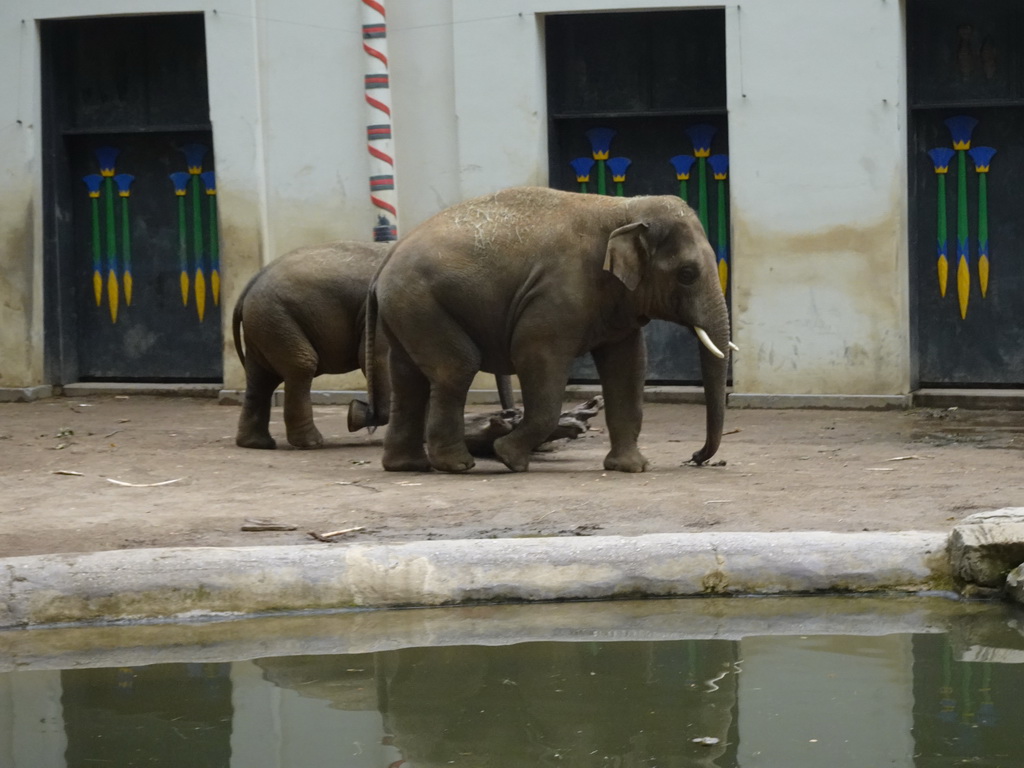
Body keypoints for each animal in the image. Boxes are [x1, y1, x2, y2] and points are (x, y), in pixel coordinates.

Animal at [234, 237, 520, 448]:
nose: (511, 415)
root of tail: (248, 287)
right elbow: (379, 358)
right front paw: (358, 417)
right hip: (276, 317)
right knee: (300, 366)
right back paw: (312, 443)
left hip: (267, 323)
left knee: (260, 377)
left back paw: (257, 444)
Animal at [364, 187, 733, 475]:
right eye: (687, 274)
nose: (695, 457)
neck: (623, 208)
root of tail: (386, 260)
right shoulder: (555, 297)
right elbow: (536, 357)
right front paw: (509, 457)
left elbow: (627, 366)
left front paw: (632, 468)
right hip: (422, 303)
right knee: (456, 368)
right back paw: (457, 465)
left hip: (408, 310)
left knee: (407, 376)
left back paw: (407, 466)